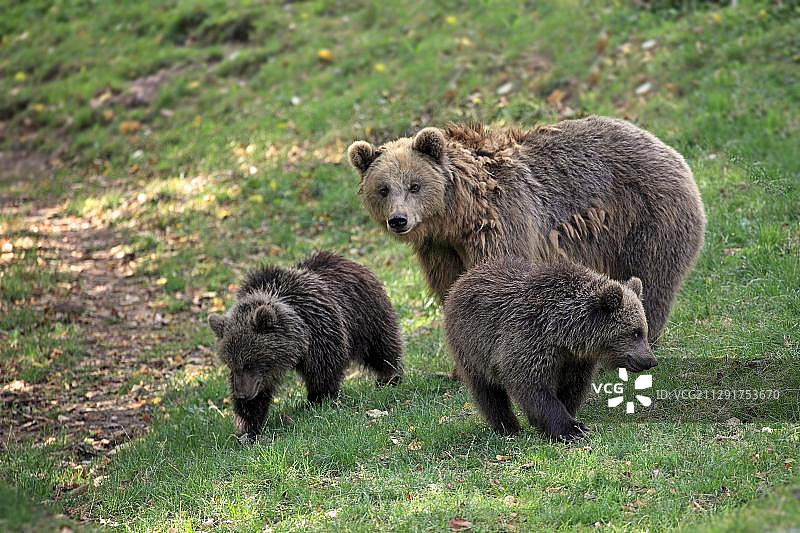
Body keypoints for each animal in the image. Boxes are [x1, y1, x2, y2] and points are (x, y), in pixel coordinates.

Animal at [208, 251, 403, 442]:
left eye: (249, 363)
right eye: (231, 364)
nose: (242, 395)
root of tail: (348, 260)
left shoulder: (320, 332)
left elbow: (323, 373)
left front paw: (317, 401)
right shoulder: (261, 376)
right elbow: (258, 397)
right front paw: (247, 428)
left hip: (367, 315)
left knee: (382, 347)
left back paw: (390, 377)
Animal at [348, 116, 706, 344]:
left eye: (414, 185)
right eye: (383, 189)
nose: (399, 220)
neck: (458, 216)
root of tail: (667, 147)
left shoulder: (503, 221)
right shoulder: (441, 249)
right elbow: (450, 288)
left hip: (646, 216)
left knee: (652, 276)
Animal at [444, 257, 656, 441]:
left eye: (643, 331)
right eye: (634, 333)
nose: (650, 360)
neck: (564, 334)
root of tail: (462, 279)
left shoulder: (575, 360)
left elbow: (572, 387)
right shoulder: (528, 337)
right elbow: (533, 386)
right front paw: (571, 429)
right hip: (472, 346)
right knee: (487, 391)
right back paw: (507, 426)